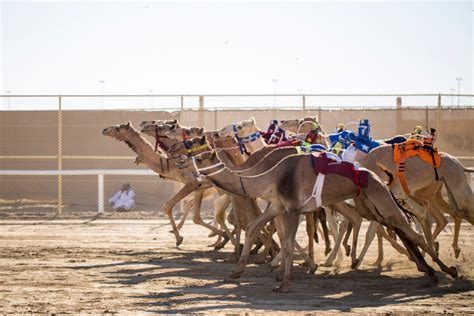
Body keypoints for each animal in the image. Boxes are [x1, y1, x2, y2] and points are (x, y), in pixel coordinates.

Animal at [176, 149, 458, 292]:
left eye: (200, 157)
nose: (182, 166)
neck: (271, 176)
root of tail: (379, 177)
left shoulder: (292, 208)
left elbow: (288, 242)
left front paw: (284, 283)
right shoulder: (277, 205)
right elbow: (255, 226)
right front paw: (236, 272)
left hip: (380, 197)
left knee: (410, 230)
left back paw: (447, 271)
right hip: (370, 204)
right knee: (398, 228)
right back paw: (430, 272)